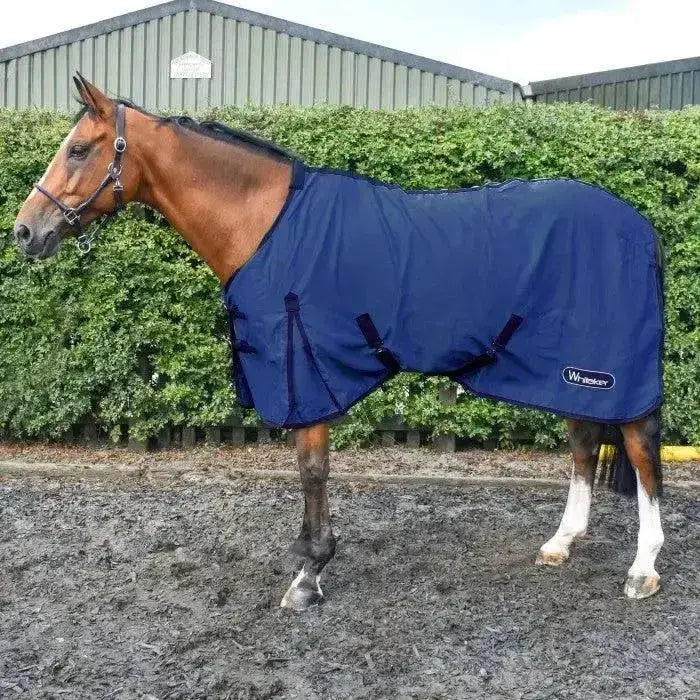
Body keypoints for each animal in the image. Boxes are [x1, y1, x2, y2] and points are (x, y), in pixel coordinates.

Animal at [13, 74, 665, 610]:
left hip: (607, 371)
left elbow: (311, 469)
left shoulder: (304, 369)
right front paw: (310, 561)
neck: (267, 225)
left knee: (641, 451)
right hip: (567, 369)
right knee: (584, 444)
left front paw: (309, 573)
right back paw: (562, 543)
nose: (24, 231)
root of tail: (638, 224)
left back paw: (643, 568)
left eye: (78, 149)